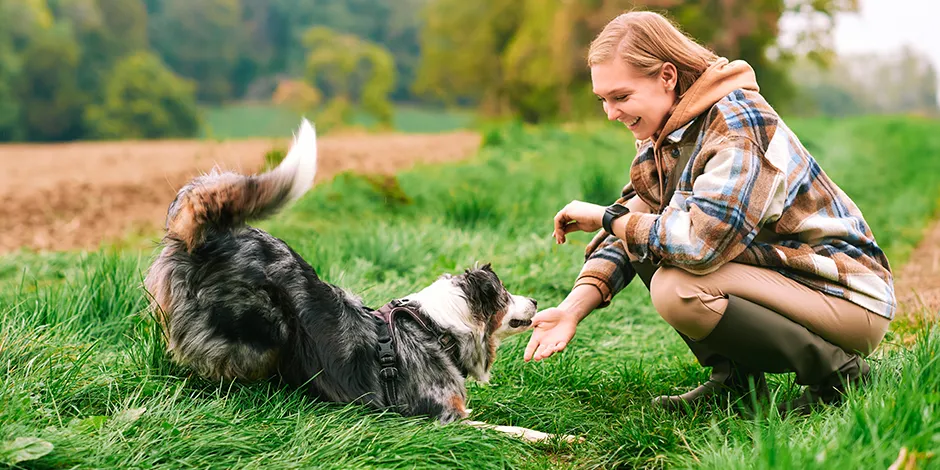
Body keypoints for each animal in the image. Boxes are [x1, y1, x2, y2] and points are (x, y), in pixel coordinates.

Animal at [145, 119, 580, 442]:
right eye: (506, 294)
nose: (536, 302)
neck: (436, 328)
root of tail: (210, 237)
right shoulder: (440, 419)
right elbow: (506, 429)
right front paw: (559, 436)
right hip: (263, 325)